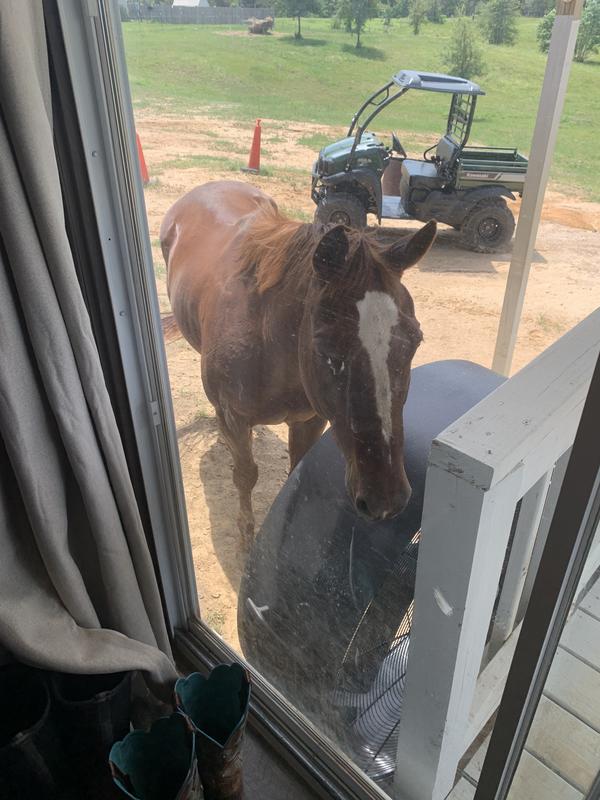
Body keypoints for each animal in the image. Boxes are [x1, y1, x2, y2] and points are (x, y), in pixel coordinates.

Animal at [160, 181, 436, 545]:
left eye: (415, 340)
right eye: (327, 350)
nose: (386, 500)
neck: (270, 347)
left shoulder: (310, 420)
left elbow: (294, 474)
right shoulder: (234, 418)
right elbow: (245, 475)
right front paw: (246, 537)